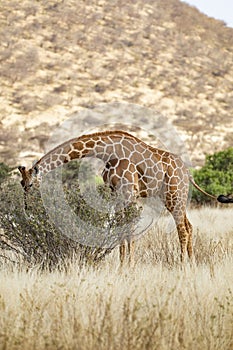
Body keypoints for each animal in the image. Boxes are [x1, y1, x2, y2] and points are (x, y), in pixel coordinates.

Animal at [17, 130, 231, 264]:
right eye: (21, 184)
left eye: (30, 185)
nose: (27, 209)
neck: (107, 153)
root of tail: (188, 173)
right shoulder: (114, 194)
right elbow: (121, 230)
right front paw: (122, 266)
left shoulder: (129, 192)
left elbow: (129, 230)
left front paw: (130, 267)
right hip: (174, 196)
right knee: (189, 226)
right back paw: (192, 264)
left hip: (174, 194)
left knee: (183, 230)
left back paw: (182, 266)